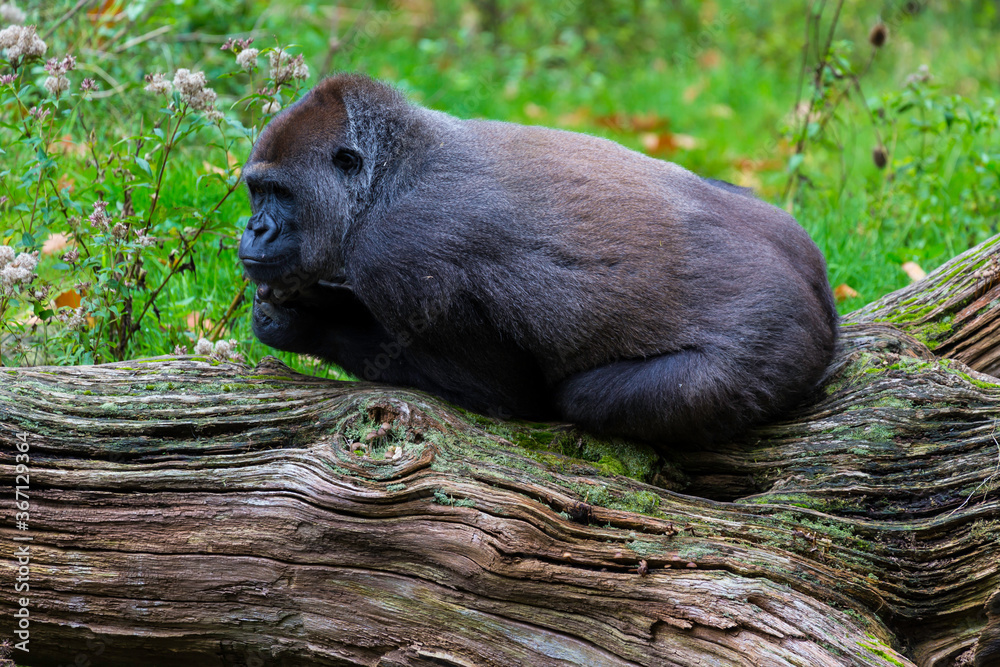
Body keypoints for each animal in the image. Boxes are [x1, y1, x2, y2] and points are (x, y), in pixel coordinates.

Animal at [238, 73, 838, 446]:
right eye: (255, 191)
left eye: (280, 194)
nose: (254, 229)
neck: (391, 173)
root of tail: (825, 306)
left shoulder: (400, 258)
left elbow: (506, 395)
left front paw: (302, 323)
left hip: (777, 348)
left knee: (586, 398)